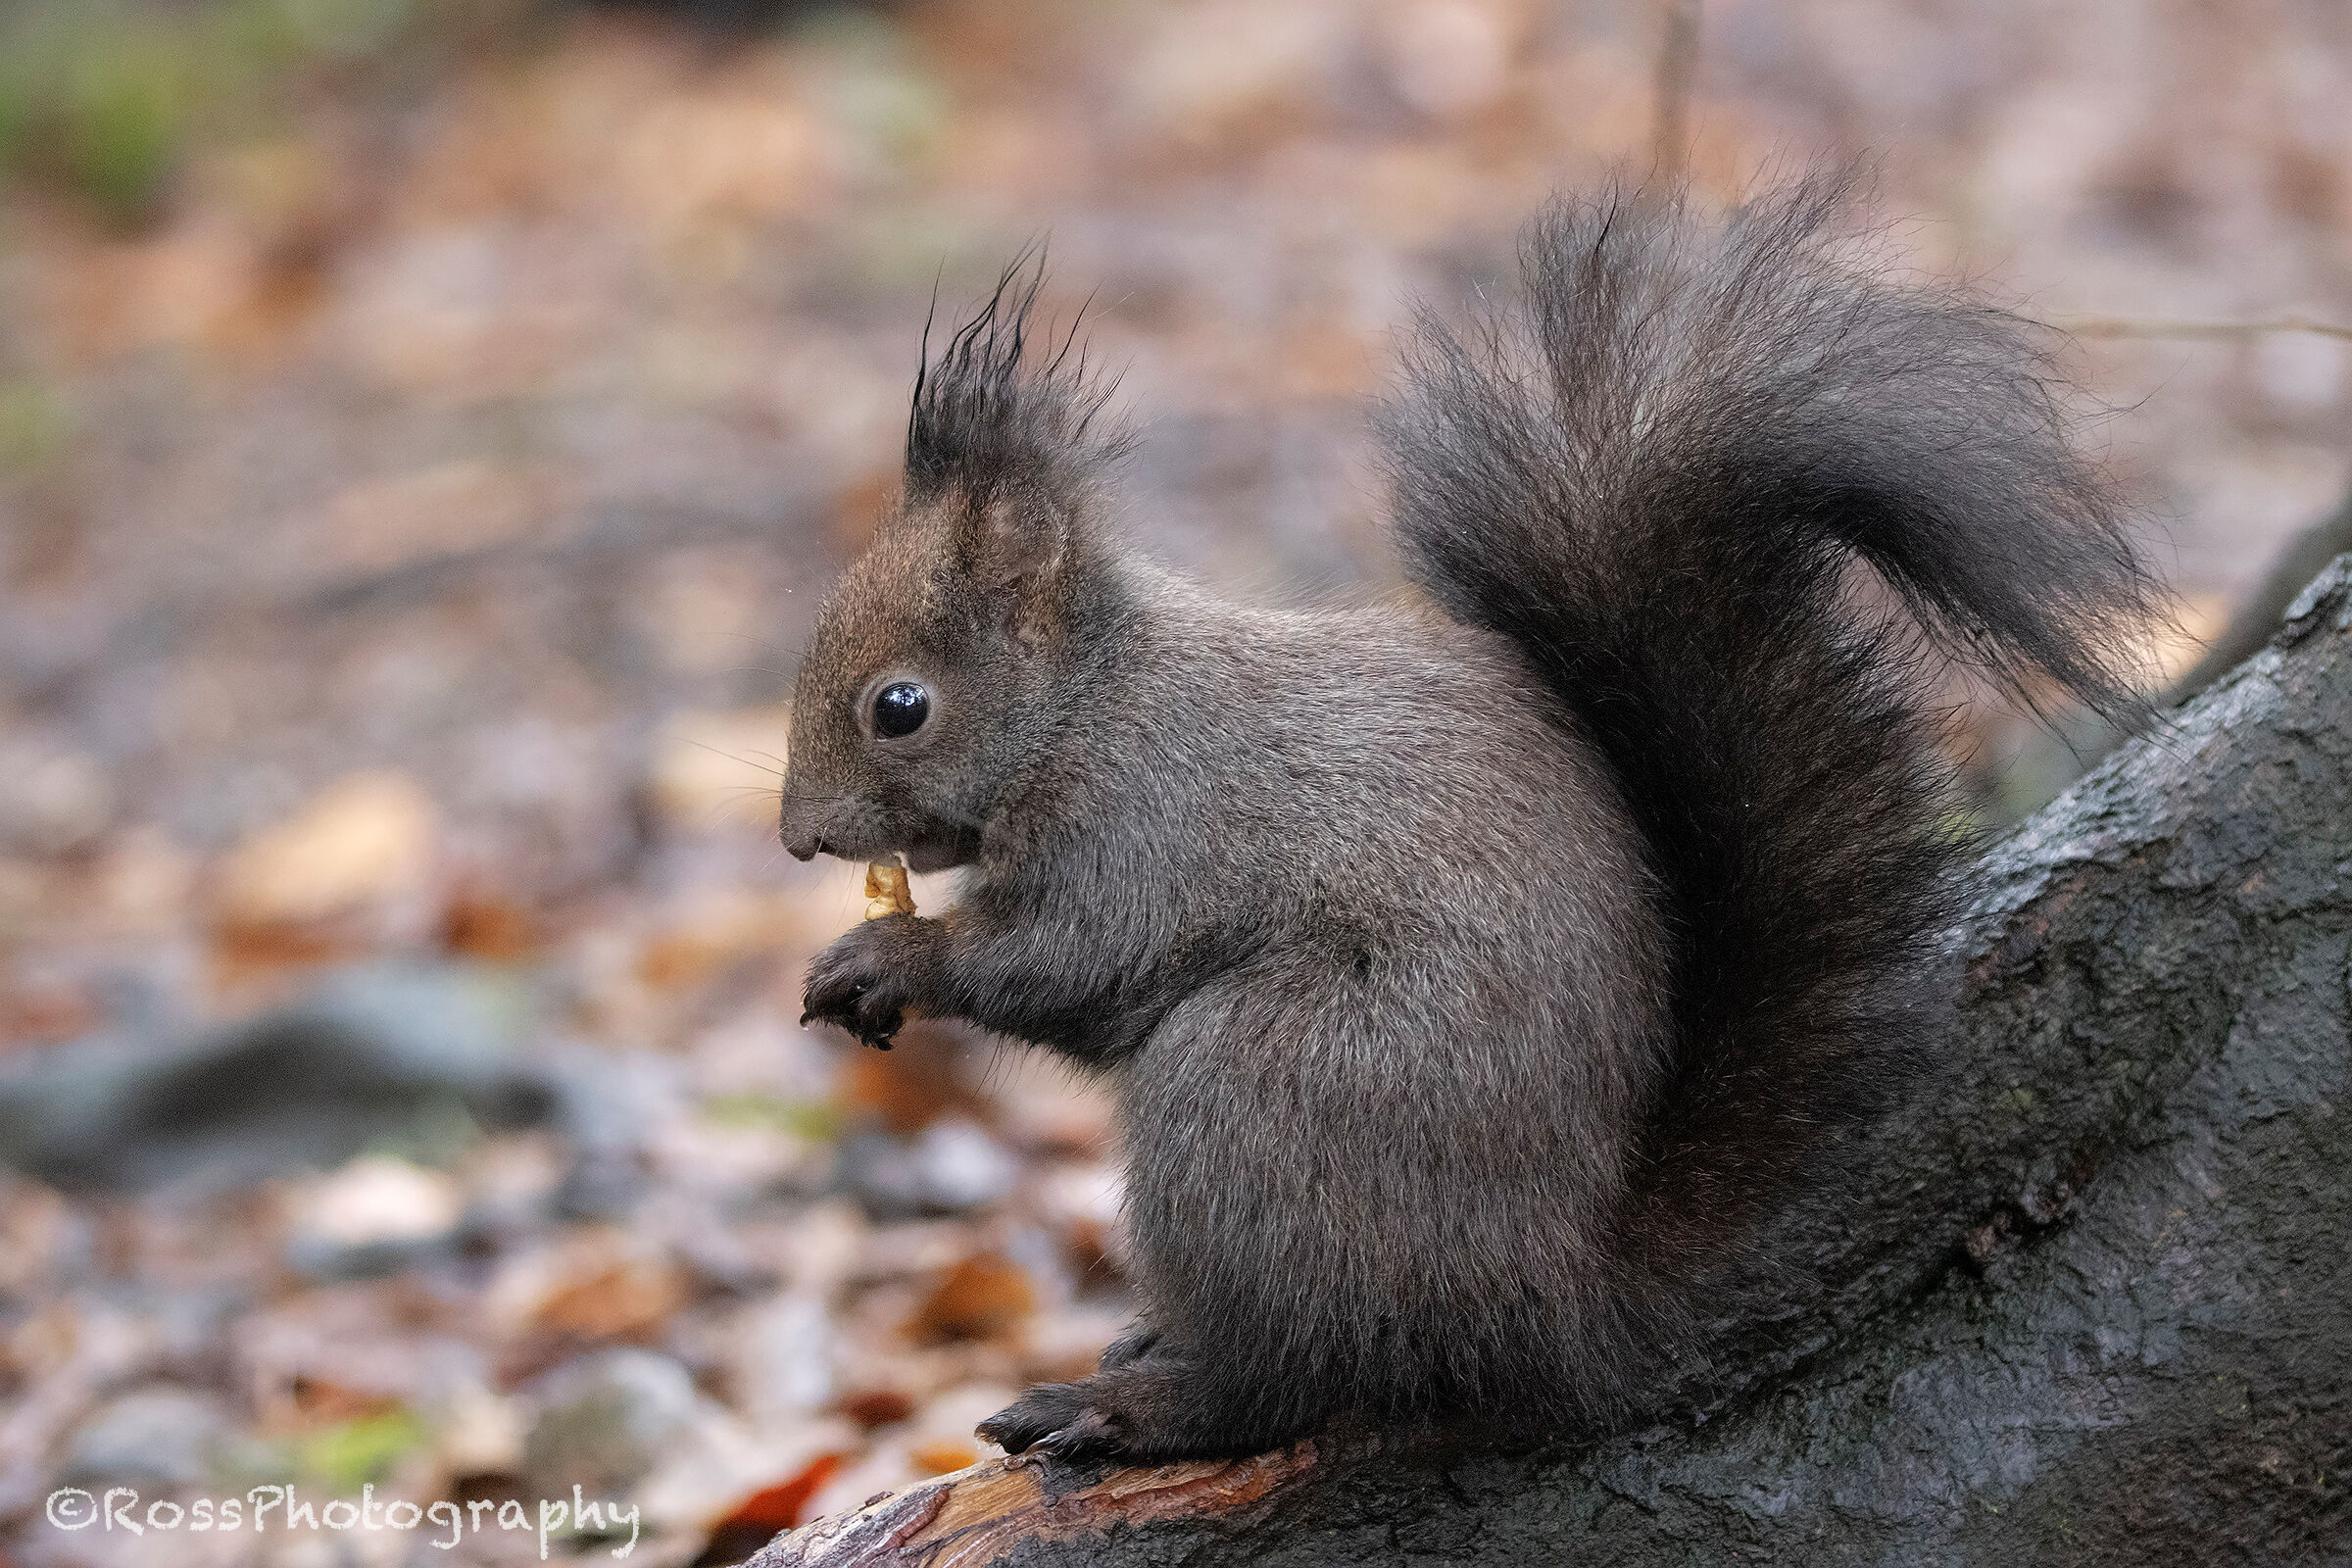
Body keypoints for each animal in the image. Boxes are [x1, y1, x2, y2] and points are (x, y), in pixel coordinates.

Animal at [777, 172, 2162, 1464]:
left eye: (899, 706)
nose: (798, 837)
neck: (1086, 700)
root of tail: (1546, 1295)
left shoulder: (1145, 817)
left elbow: (1067, 961)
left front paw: (888, 957)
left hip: (1267, 1095)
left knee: (1291, 1374)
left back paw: (1137, 1402)